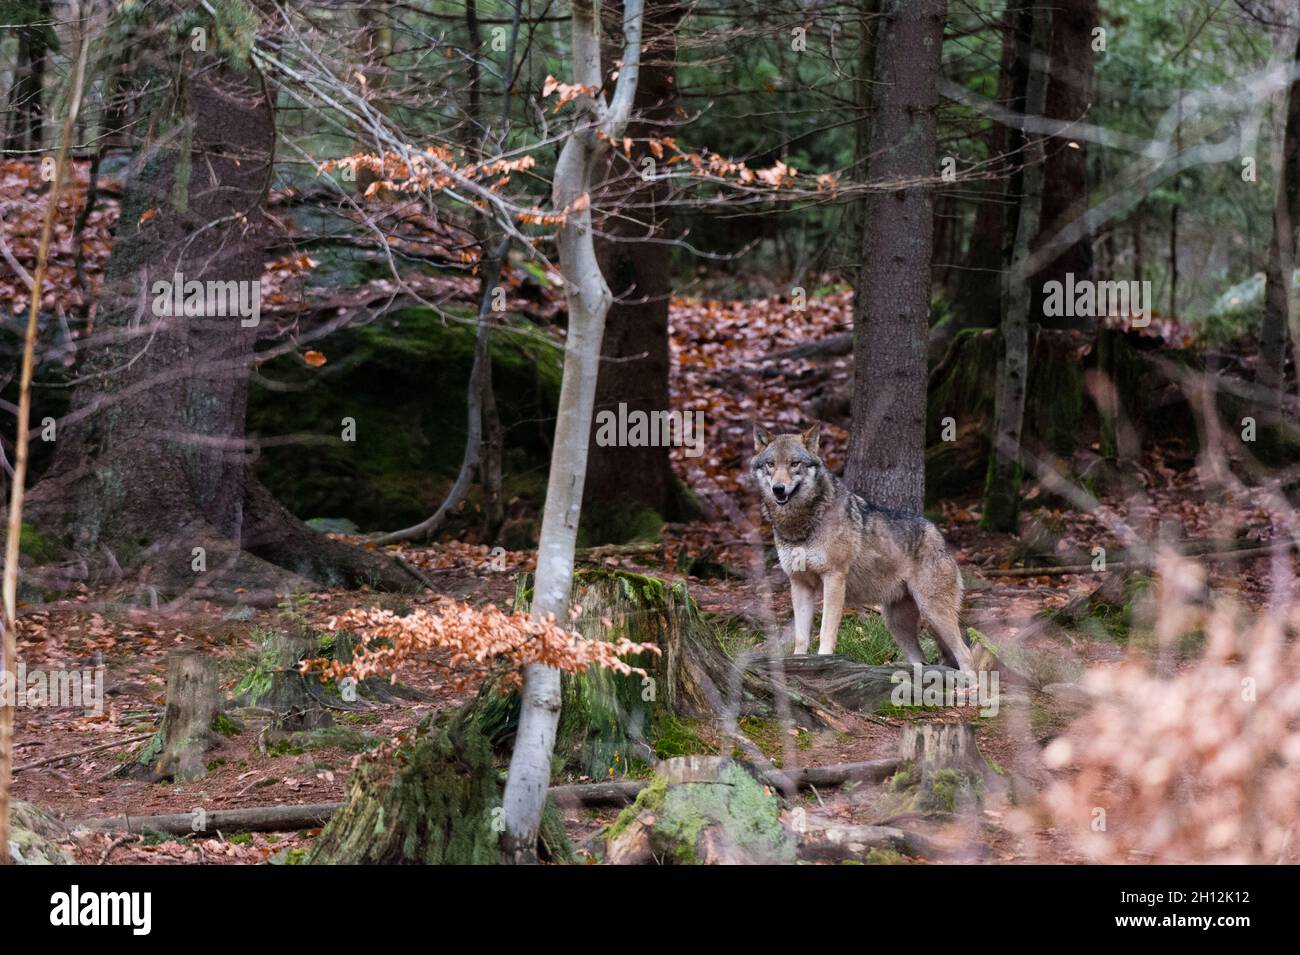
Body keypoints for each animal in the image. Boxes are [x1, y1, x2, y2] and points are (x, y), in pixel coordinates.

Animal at [751, 422, 974, 670]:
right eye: (771, 464)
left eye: (794, 463)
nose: (778, 489)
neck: (799, 525)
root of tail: (939, 537)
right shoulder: (799, 583)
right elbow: (801, 637)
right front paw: (800, 663)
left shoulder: (834, 578)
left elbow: (826, 630)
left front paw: (824, 661)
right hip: (897, 624)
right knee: (920, 659)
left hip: (933, 613)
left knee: (966, 654)